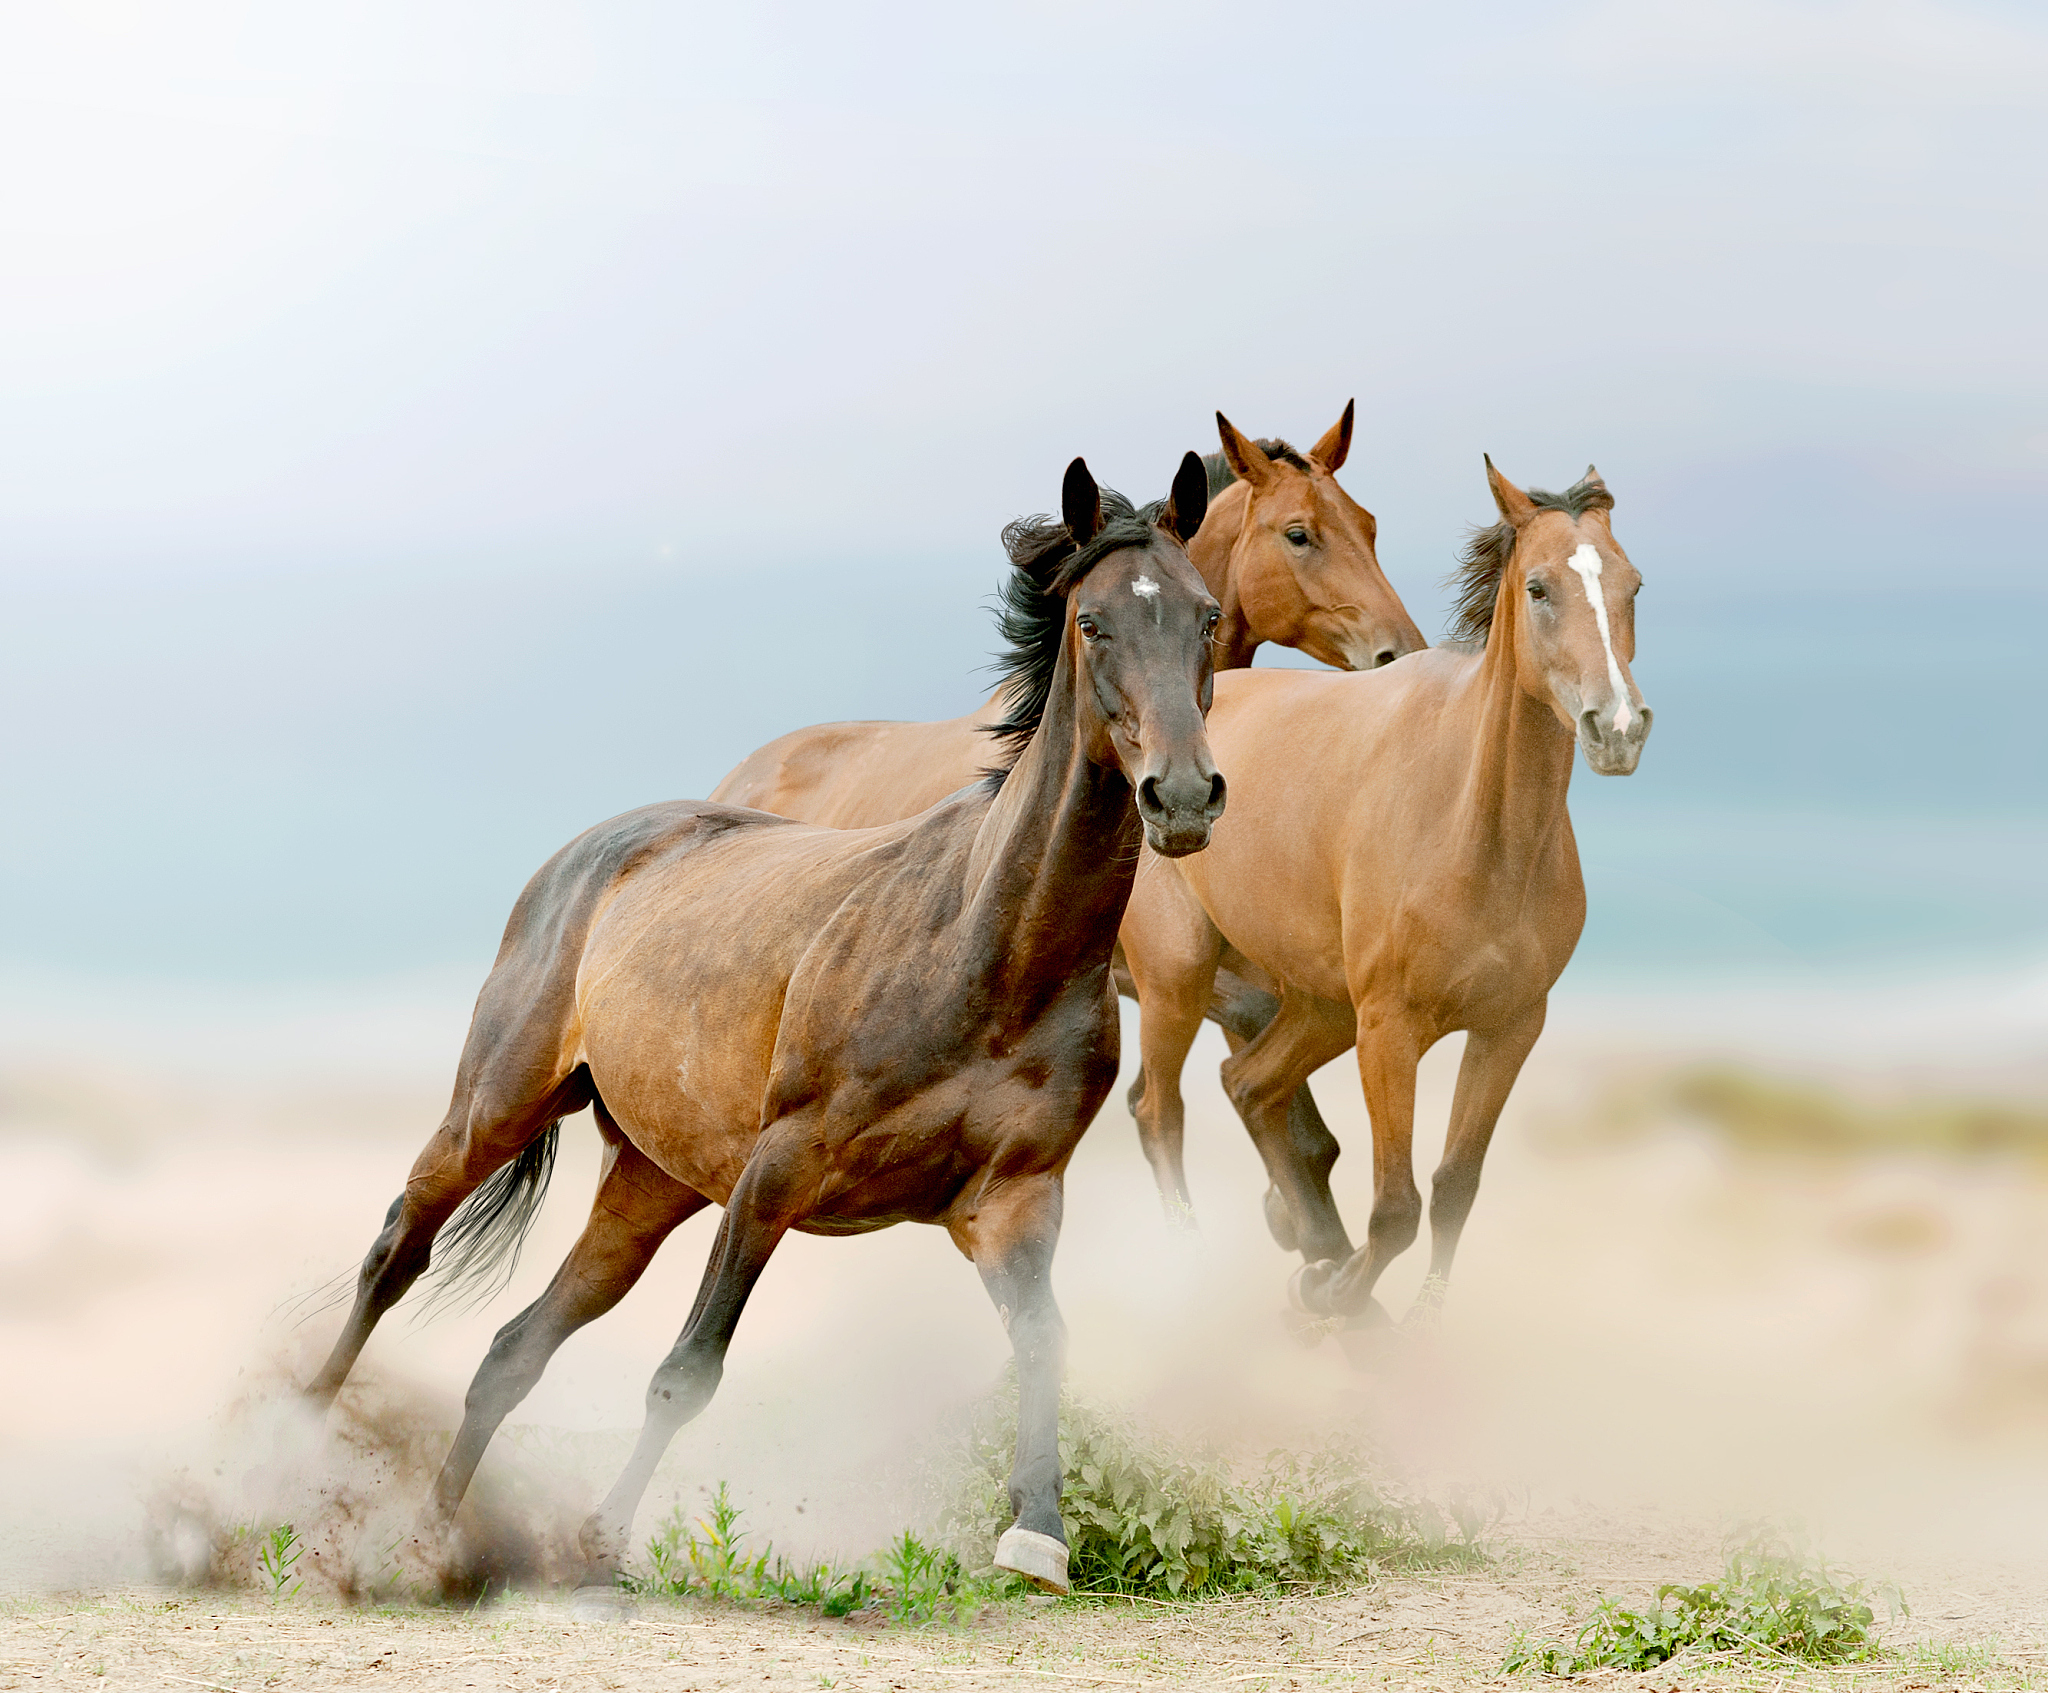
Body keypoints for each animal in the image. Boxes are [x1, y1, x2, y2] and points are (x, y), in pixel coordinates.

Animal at [304, 454, 1227, 1597]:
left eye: (1204, 616)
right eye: (1093, 622)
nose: (1181, 797)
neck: (985, 951)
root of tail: (596, 848)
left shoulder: (1012, 1200)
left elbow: (1045, 1342)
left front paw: (1036, 1537)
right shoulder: (778, 1171)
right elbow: (687, 1370)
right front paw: (601, 1540)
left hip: (649, 1184)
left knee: (513, 1349)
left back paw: (432, 1539)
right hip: (496, 1107)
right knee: (396, 1251)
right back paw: (273, 1465)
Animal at [1122, 459, 1651, 1333]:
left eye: (1632, 585)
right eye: (1538, 587)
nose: (1618, 727)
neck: (1477, 830)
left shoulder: (1510, 1027)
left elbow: (1454, 1188)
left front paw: (1407, 1323)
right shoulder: (1390, 1030)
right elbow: (1396, 1206)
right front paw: (1336, 1291)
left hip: (1318, 1005)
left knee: (1250, 1088)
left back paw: (1308, 1247)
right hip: (1177, 980)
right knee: (1159, 1110)